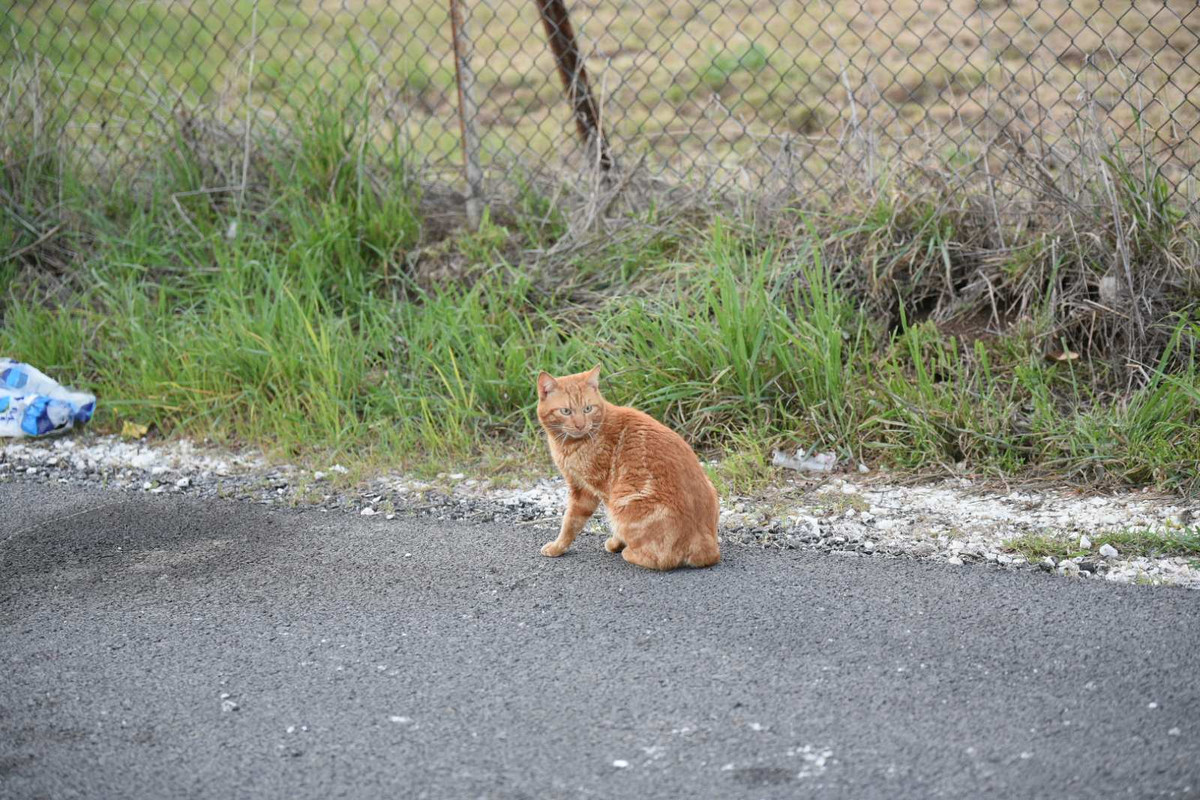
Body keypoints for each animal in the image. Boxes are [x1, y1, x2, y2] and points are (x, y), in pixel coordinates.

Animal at [537, 362, 720, 568]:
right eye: (566, 411)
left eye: (587, 409)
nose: (580, 425)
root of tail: (707, 546)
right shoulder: (580, 487)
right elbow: (573, 521)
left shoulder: (592, 490)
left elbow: (570, 522)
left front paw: (557, 547)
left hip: (623, 500)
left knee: (663, 559)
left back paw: (628, 552)